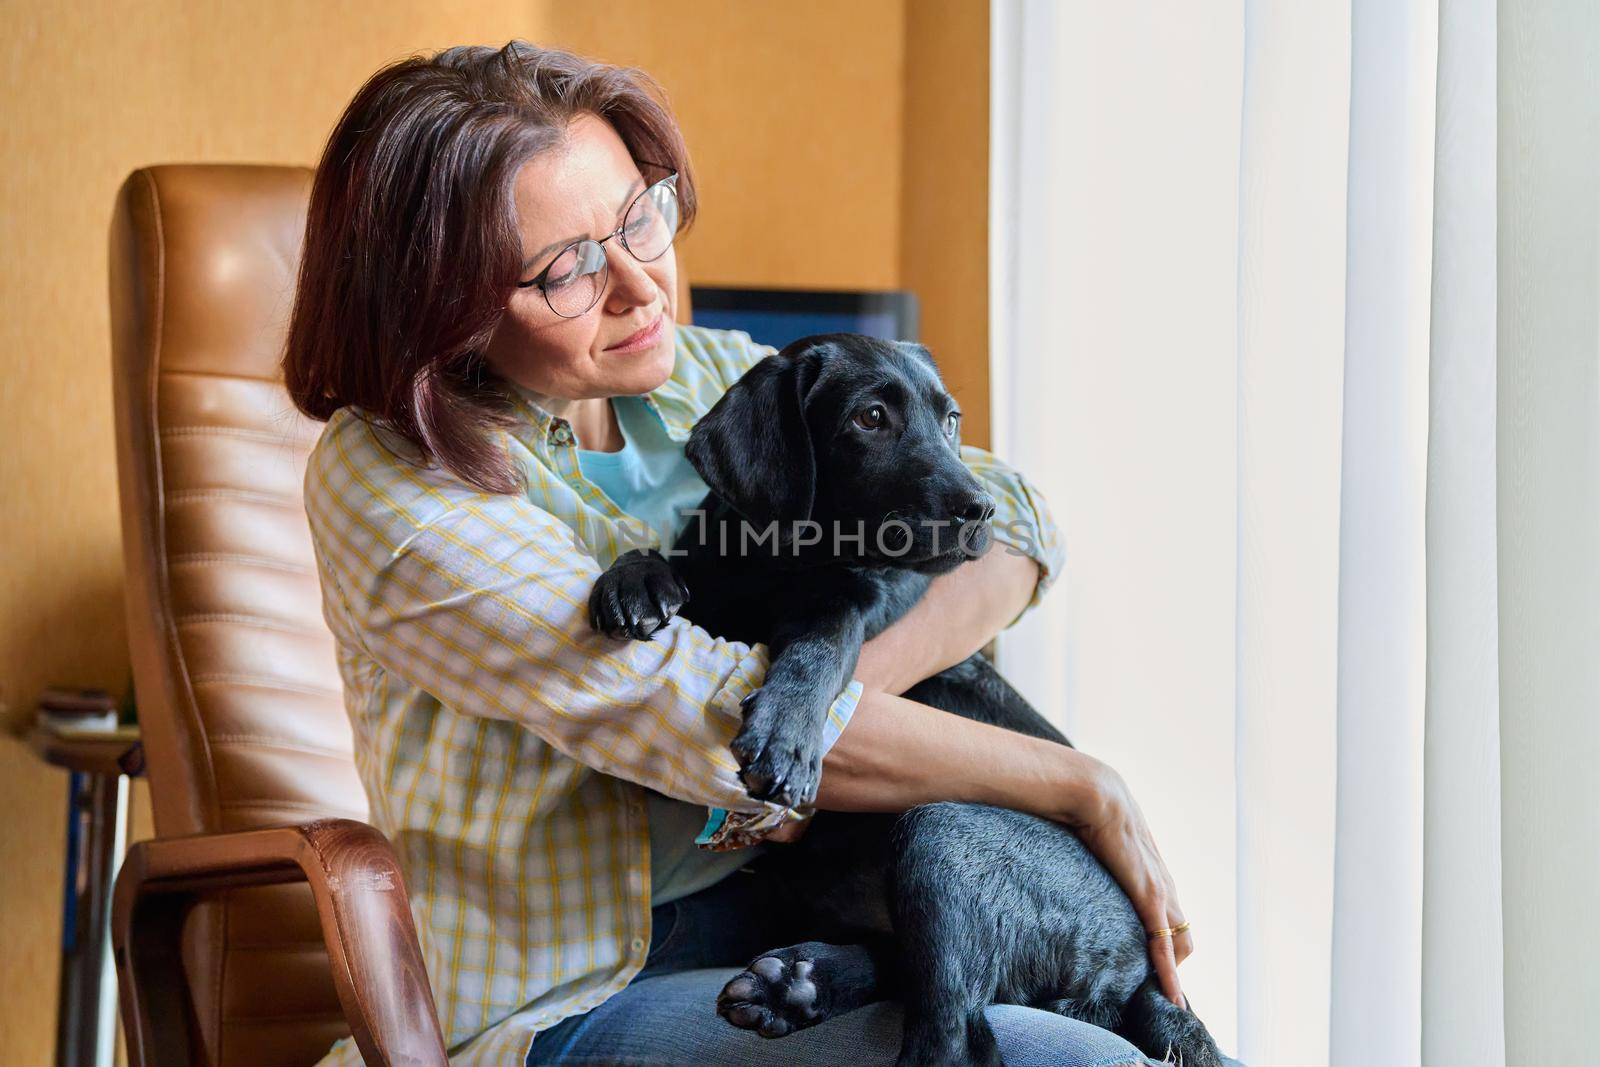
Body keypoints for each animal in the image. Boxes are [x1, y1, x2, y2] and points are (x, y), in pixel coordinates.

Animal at [588, 335, 1222, 1067]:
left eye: (951, 420)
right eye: (870, 417)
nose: (982, 509)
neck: (780, 562)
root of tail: (1143, 976)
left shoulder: (856, 603)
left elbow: (822, 642)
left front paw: (787, 733)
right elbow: (676, 563)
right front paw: (635, 576)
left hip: (938, 835)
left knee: (951, 1032)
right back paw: (799, 983)